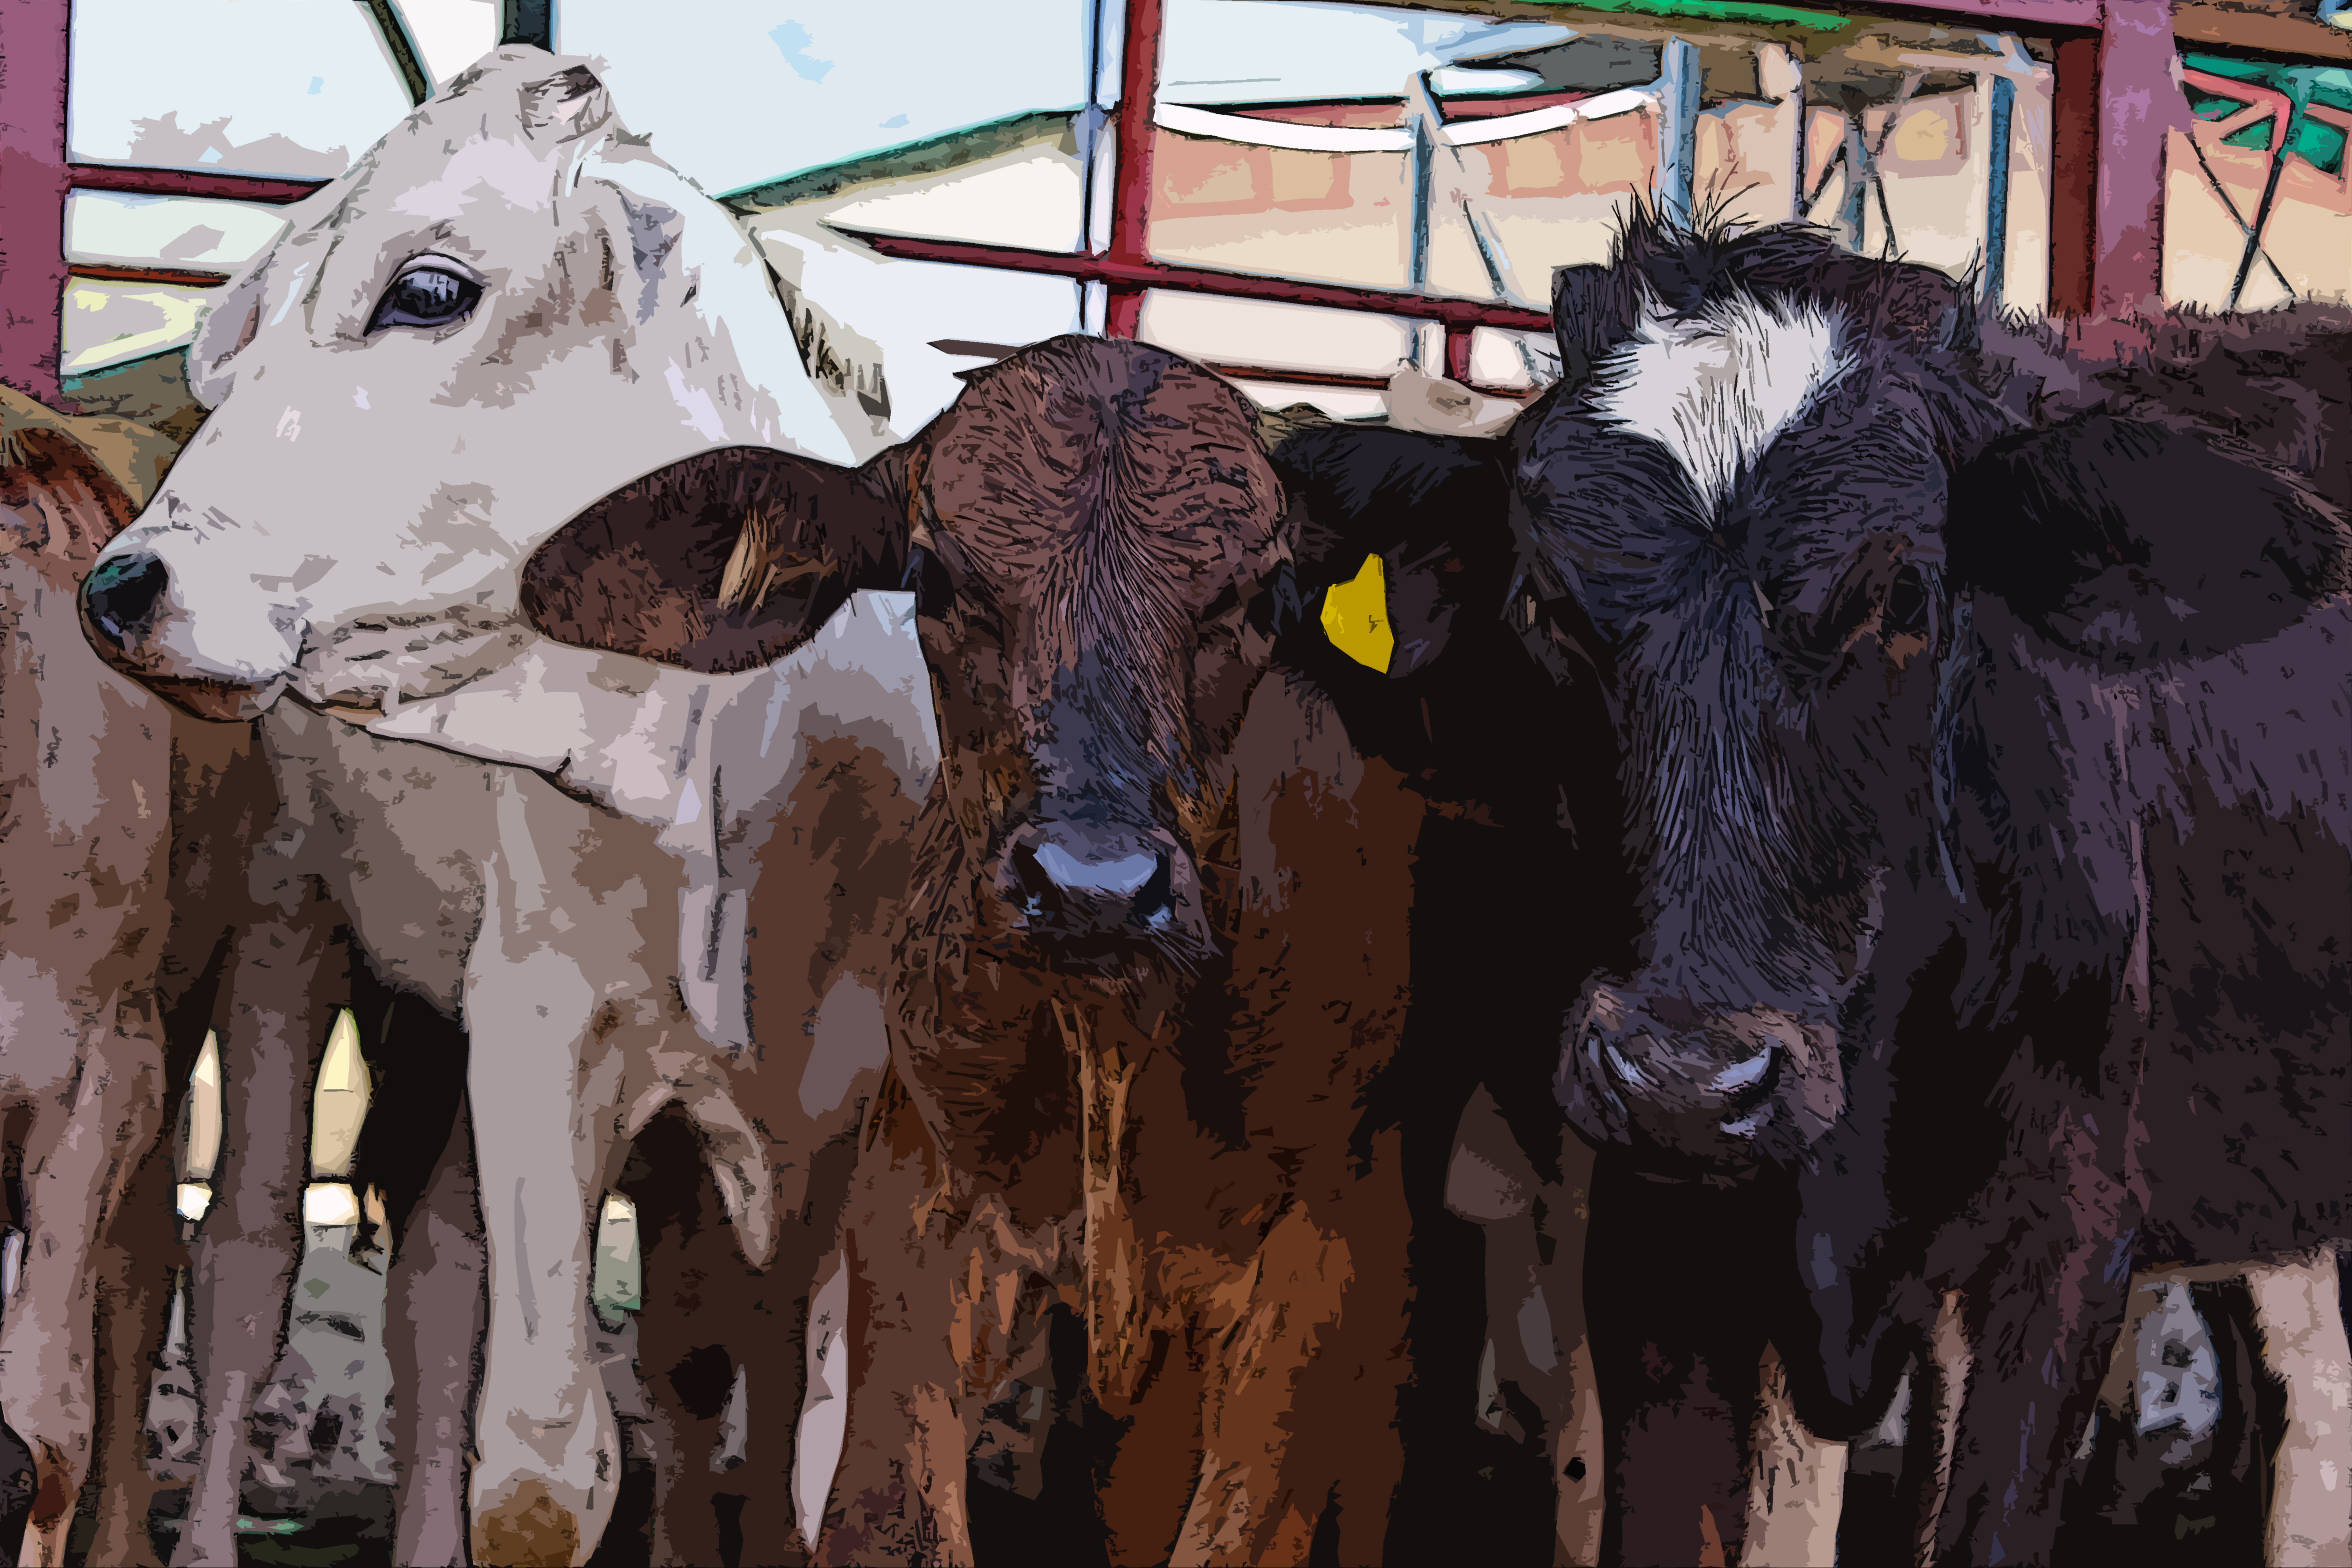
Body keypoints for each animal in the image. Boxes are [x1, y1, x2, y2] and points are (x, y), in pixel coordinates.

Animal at [77, 46, 945, 1568]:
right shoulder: (547, 1020)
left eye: (428, 290)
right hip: (288, 924)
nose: (125, 586)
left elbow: (817, 1462)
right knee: (245, 1258)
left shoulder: (861, 1101)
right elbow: (543, 1467)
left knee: (437, 1281)